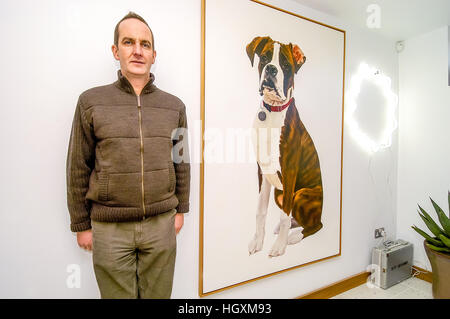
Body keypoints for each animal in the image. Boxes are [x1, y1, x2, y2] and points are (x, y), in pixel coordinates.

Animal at [246, 37, 324, 258]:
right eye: (264, 57)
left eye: (286, 65)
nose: (271, 69)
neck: (272, 111)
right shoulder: (262, 171)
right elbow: (260, 211)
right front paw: (257, 242)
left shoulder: (289, 171)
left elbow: (283, 216)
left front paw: (279, 246)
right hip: (278, 194)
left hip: (300, 194)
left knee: (315, 225)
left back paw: (293, 236)